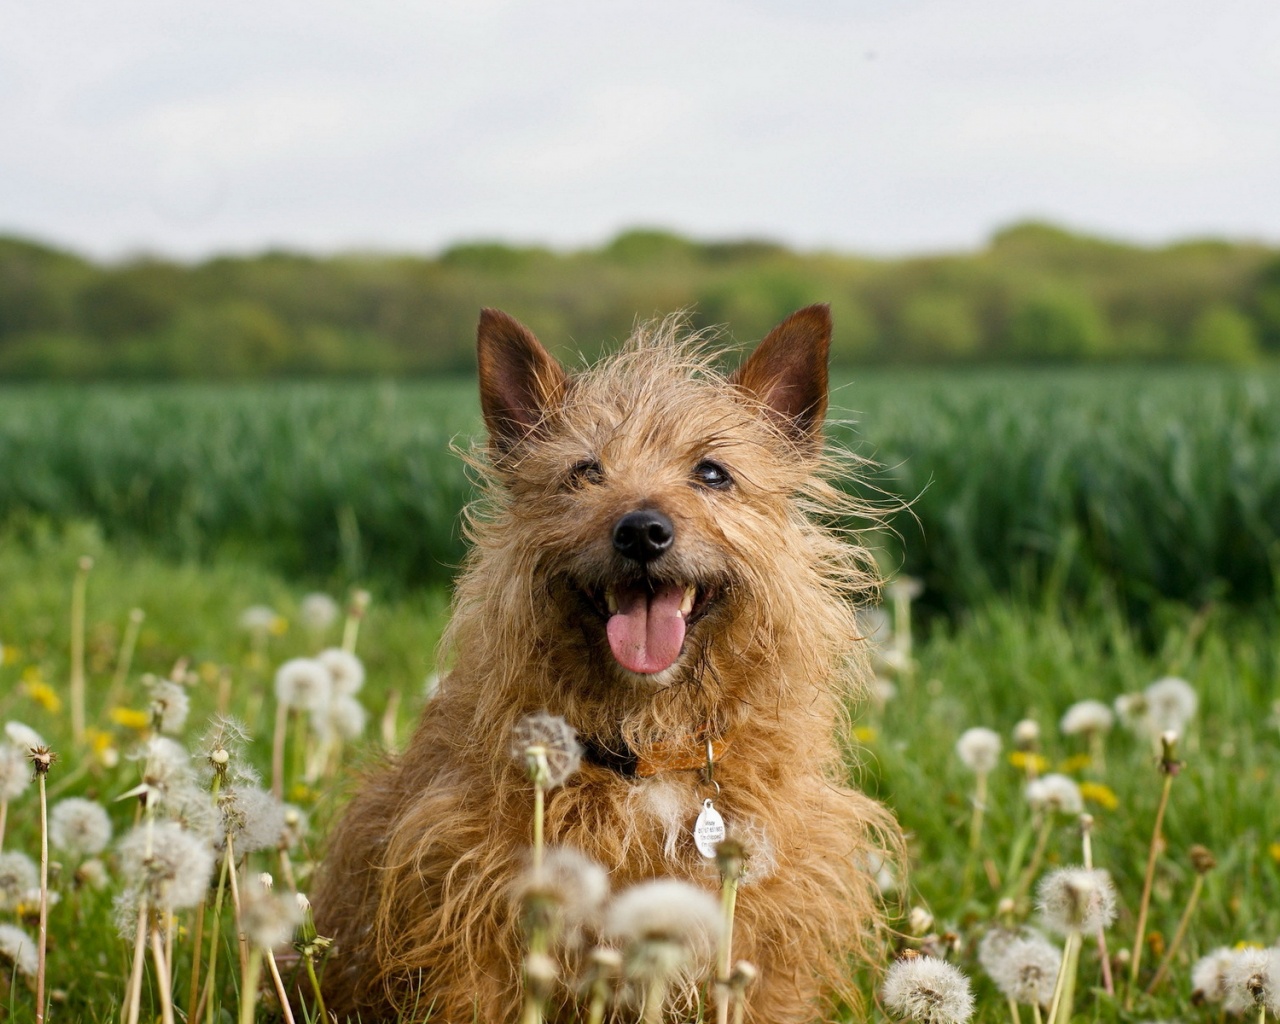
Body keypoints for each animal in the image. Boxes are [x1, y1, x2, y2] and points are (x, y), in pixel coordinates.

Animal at [312, 305, 901, 1024]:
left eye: (712, 473)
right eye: (584, 472)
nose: (641, 531)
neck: (648, 748)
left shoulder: (768, 946)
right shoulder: (474, 930)